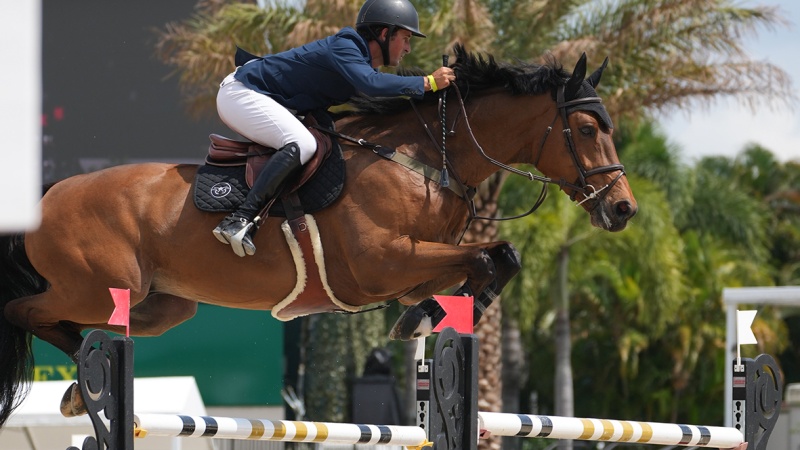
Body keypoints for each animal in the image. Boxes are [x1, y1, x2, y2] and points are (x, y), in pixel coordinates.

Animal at [0, 44, 636, 426]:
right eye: (586, 128)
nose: (624, 209)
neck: (423, 157)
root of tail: (46, 196)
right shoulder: (383, 264)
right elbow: (489, 257)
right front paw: (422, 321)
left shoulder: (414, 269)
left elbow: (498, 258)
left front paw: (425, 318)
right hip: (96, 287)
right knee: (20, 310)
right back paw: (83, 383)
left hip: (160, 306)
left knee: (81, 323)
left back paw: (79, 387)